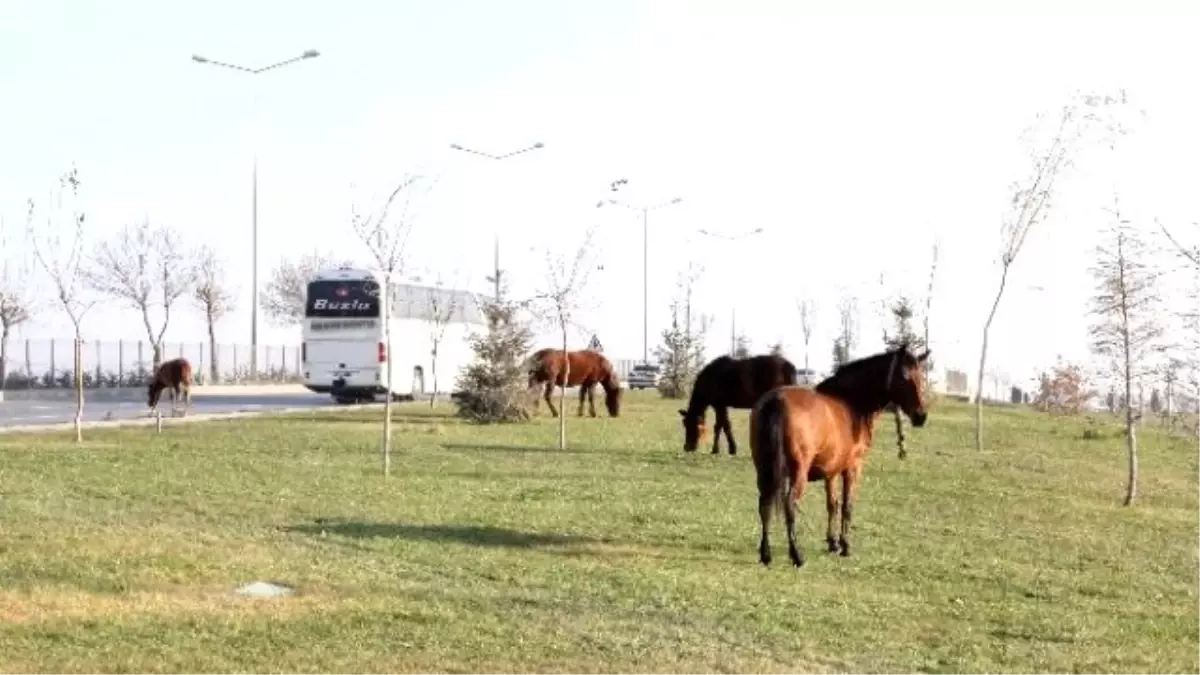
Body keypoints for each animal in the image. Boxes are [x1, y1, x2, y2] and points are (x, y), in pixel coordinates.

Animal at [748, 343, 936, 564]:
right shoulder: (853, 467)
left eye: (921, 376)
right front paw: (845, 546)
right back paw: (797, 554)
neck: (852, 403)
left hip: (764, 469)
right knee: (789, 504)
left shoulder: (831, 471)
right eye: (905, 375)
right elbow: (847, 505)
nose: (920, 416)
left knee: (765, 504)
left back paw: (765, 554)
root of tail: (775, 401)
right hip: (797, 473)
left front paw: (833, 543)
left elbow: (832, 504)